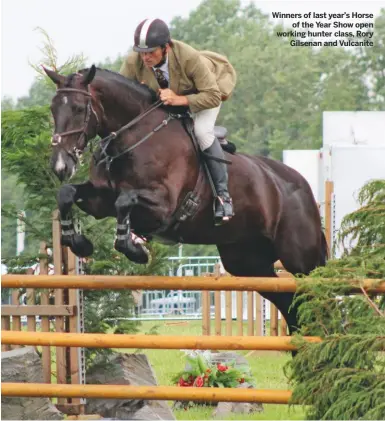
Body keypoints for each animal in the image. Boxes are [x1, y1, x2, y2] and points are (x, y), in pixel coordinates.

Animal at [44, 65, 328, 334]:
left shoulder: (164, 207)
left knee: (313, 296)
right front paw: (78, 242)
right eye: (53, 109)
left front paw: (135, 250)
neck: (134, 139)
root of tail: (303, 186)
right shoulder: (100, 201)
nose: (60, 166)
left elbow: (124, 201)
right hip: (247, 262)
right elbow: (67, 194)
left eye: (79, 108)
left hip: (301, 260)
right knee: (290, 303)